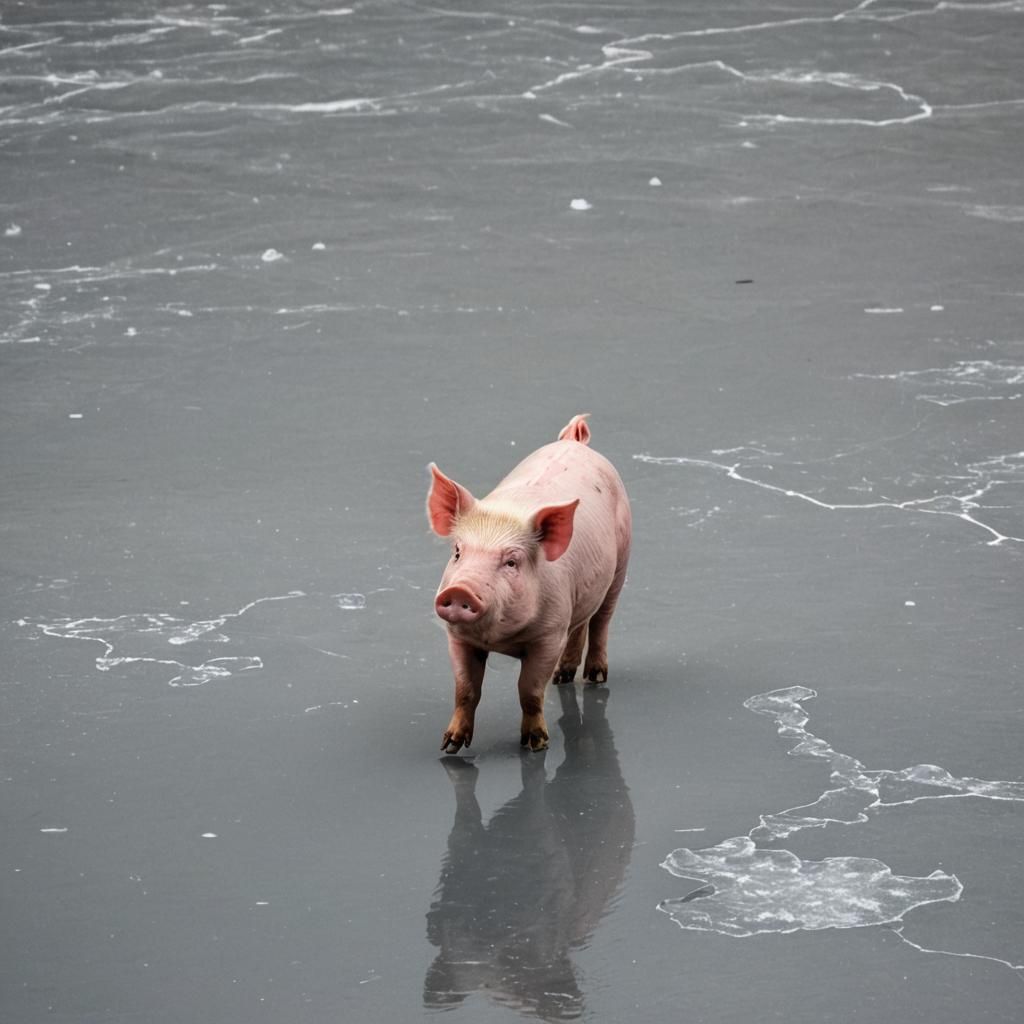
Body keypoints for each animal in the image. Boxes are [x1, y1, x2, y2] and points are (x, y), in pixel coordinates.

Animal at [426, 414, 631, 753]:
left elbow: (530, 690)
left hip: (622, 564)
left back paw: (594, 677)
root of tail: (574, 441)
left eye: (512, 562)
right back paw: (563, 677)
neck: (497, 639)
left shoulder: (549, 635)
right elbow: (465, 689)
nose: (460, 589)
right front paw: (449, 745)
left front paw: (536, 745)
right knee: (581, 623)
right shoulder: (457, 636)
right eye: (457, 552)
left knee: (602, 620)